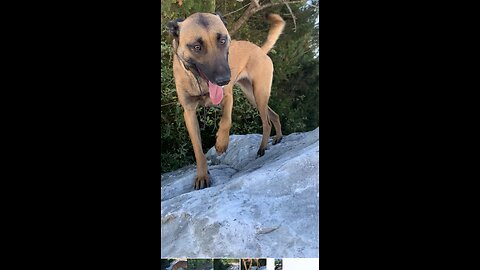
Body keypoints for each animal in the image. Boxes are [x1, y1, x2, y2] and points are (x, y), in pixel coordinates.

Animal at [167, 11, 284, 189]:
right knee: (273, 115)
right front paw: (202, 176)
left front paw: (221, 143)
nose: (224, 80)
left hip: (259, 94)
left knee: (267, 122)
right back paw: (278, 137)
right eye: (196, 47)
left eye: (222, 40)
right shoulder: (189, 113)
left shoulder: (228, 97)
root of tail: (259, 50)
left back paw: (262, 148)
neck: (199, 82)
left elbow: (226, 120)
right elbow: (197, 149)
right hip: (253, 96)